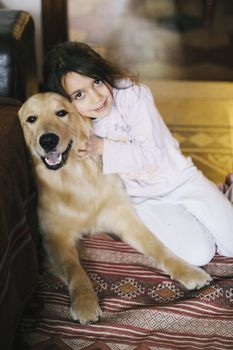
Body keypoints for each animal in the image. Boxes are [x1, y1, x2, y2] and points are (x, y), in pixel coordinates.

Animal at [18, 92, 211, 326]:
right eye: (31, 119)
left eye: (62, 113)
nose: (48, 140)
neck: (77, 177)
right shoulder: (54, 239)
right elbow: (75, 269)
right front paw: (85, 302)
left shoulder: (125, 218)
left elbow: (159, 248)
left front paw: (189, 271)